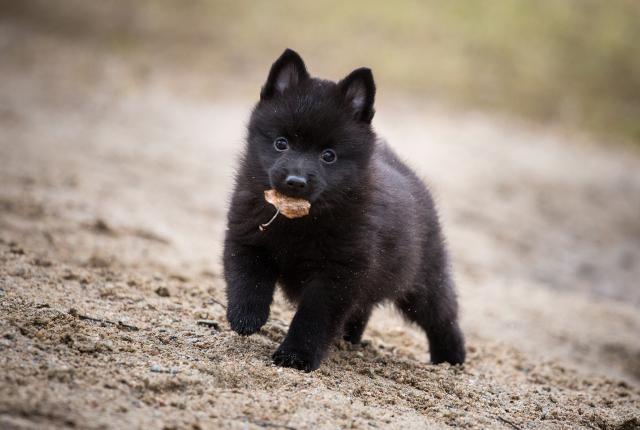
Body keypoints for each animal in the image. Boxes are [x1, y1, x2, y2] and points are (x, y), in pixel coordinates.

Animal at [222, 48, 462, 372]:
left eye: (328, 155)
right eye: (281, 143)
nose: (295, 180)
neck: (302, 222)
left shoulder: (336, 276)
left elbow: (313, 319)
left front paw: (296, 356)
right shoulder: (248, 236)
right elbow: (247, 278)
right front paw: (246, 317)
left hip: (423, 279)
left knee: (442, 317)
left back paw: (452, 360)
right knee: (363, 309)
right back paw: (349, 340)